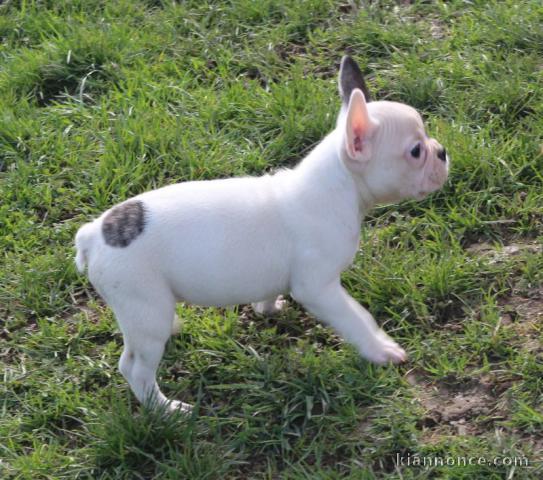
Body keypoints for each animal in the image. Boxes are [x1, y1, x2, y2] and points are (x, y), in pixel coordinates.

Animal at [76, 54, 450, 410]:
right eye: (415, 151)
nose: (442, 151)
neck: (337, 186)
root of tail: (94, 235)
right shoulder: (318, 288)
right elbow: (356, 317)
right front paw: (380, 349)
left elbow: (270, 290)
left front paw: (267, 307)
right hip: (144, 306)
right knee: (135, 369)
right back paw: (166, 410)